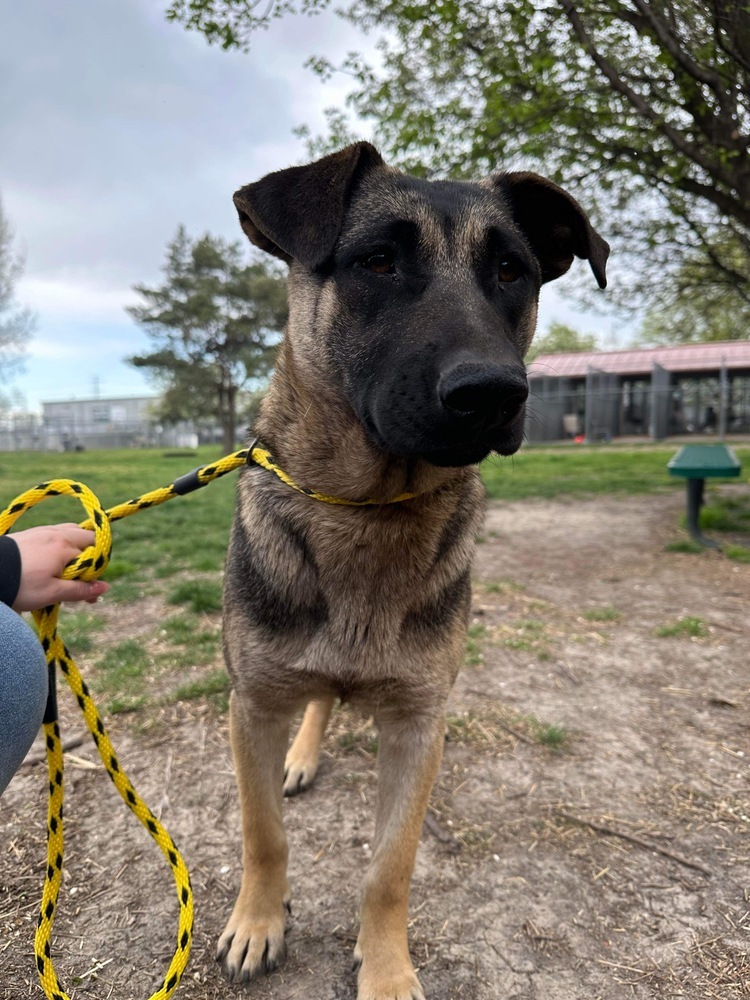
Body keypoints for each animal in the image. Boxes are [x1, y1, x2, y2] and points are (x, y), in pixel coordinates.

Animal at [217, 143, 612, 1000]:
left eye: (511, 271)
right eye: (378, 260)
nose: (494, 391)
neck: (367, 509)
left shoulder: (417, 725)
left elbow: (389, 868)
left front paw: (388, 966)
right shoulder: (251, 704)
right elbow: (263, 833)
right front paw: (258, 920)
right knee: (315, 707)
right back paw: (302, 756)